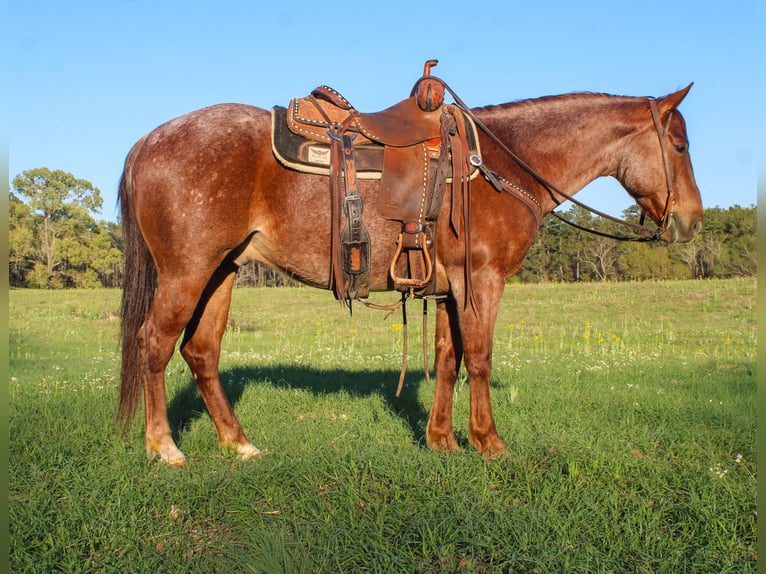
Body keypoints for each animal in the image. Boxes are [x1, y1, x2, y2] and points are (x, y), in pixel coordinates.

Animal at [117, 79, 703, 466]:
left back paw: (238, 443)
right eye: (680, 145)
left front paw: (442, 439)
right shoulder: (482, 281)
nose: (691, 220)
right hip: (187, 272)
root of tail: (148, 140)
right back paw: (165, 447)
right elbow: (480, 358)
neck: (501, 165)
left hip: (223, 271)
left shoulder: (448, 290)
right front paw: (489, 443)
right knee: (154, 344)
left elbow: (447, 359)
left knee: (201, 352)